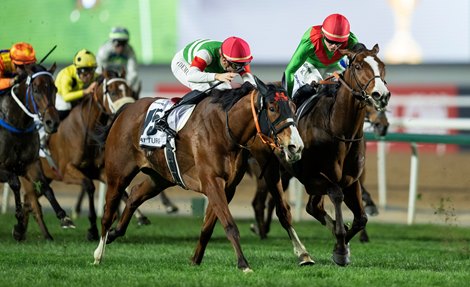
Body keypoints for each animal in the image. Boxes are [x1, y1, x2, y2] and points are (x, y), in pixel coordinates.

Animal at [0, 64, 60, 242]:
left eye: (55, 88)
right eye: (36, 89)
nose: (52, 122)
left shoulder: (30, 164)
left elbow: (45, 187)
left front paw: (63, 216)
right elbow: (15, 183)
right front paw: (19, 224)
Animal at [21, 70, 136, 241]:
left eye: (130, 90)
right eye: (113, 91)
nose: (129, 109)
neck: (85, 129)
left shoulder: (97, 170)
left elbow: (122, 191)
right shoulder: (66, 171)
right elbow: (89, 186)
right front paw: (92, 230)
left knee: (29, 200)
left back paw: (20, 230)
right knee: (31, 199)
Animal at [93, 78, 314, 272]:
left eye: (293, 107)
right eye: (273, 108)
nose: (296, 146)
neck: (226, 128)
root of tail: (125, 110)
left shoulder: (227, 187)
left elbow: (209, 226)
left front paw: (195, 260)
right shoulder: (212, 181)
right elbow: (229, 224)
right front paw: (243, 264)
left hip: (160, 176)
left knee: (135, 195)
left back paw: (115, 233)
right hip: (118, 175)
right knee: (108, 212)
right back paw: (98, 253)